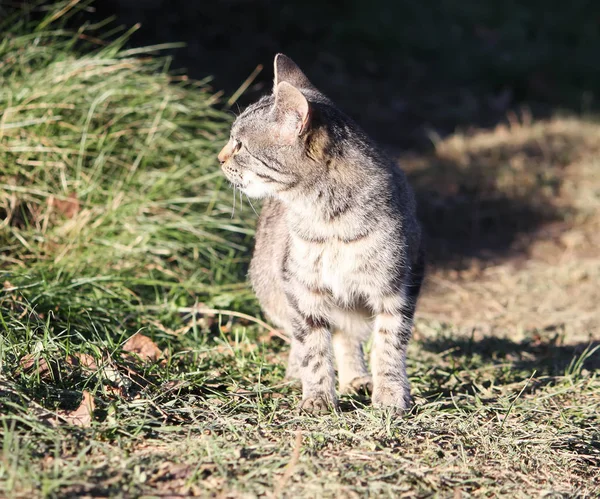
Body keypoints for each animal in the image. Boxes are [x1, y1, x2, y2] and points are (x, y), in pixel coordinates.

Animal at [218, 53, 424, 414]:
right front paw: (317, 396)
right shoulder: (301, 286)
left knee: (346, 336)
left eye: (240, 145)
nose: (219, 158)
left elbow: (389, 344)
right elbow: (312, 346)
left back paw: (356, 378)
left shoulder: (398, 286)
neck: (329, 220)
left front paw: (390, 394)